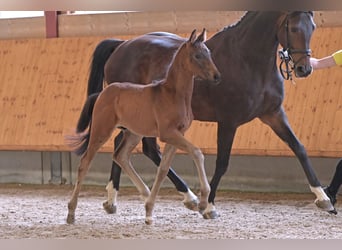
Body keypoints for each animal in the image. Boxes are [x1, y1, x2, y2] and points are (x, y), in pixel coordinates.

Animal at [67, 29, 222, 225]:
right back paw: (71, 213)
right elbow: (197, 152)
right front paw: (202, 203)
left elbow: (163, 169)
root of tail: (103, 93)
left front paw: (149, 211)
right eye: (197, 55)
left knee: (121, 155)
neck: (172, 94)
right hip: (101, 130)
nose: (217, 76)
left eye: (208, 53)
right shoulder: (168, 134)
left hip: (134, 133)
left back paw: (142, 194)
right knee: (85, 162)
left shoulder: (177, 135)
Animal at [84, 11, 336, 219]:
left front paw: (323, 198)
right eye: (293, 28)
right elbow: (222, 163)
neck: (246, 59)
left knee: (134, 148)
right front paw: (210, 206)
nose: (304, 69)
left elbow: (299, 148)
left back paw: (120, 199)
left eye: (313, 26)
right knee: (136, 148)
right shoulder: (228, 121)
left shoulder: (273, 114)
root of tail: (122, 45)